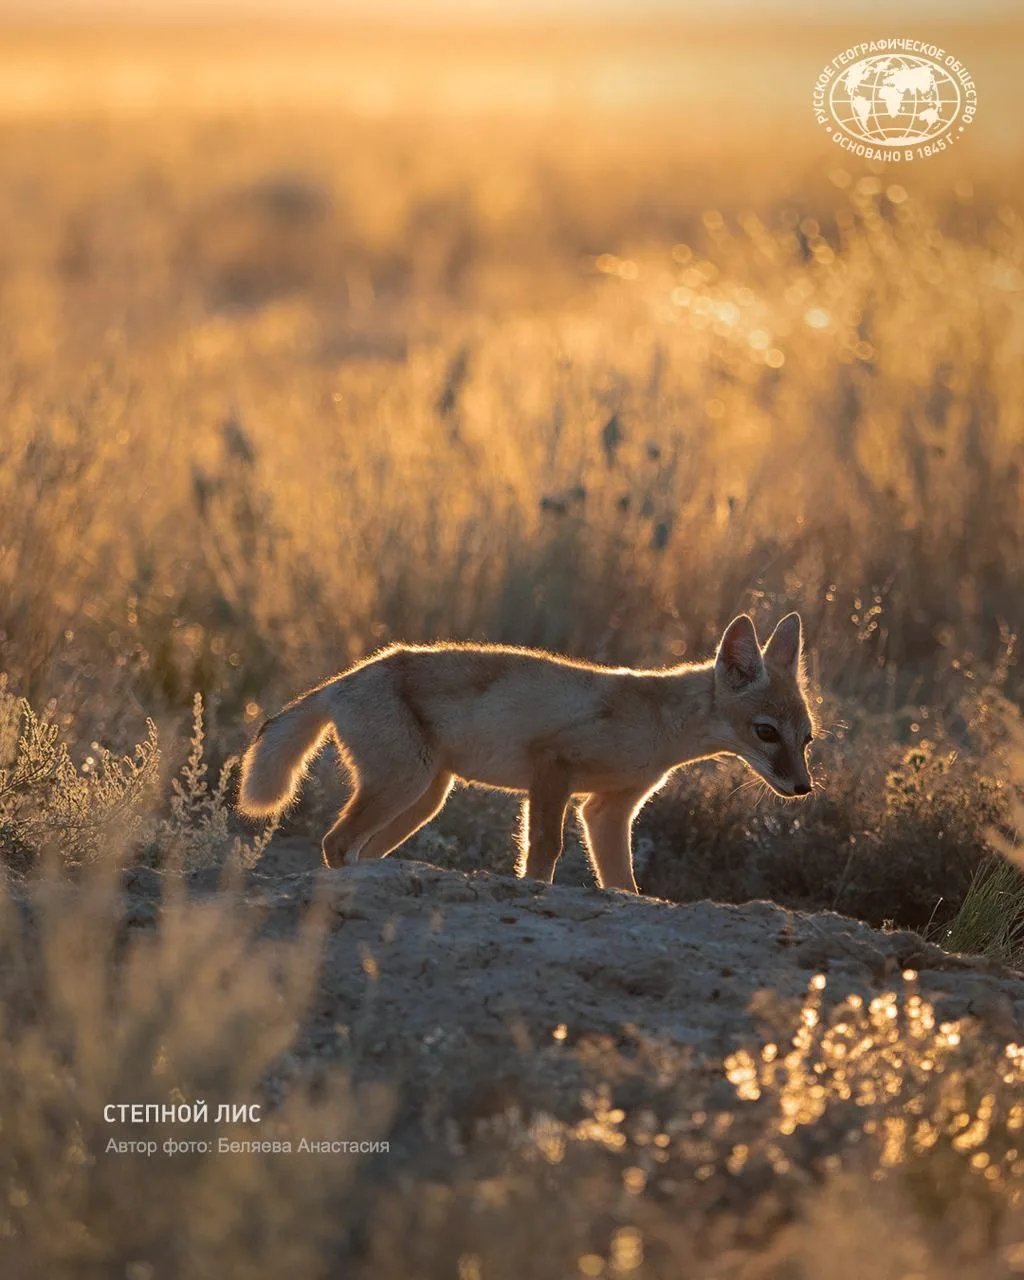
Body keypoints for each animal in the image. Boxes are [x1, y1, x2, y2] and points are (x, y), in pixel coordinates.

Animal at [237, 612, 816, 894]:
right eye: (767, 733)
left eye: (806, 739)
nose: (803, 787)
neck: (657, 723)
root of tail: (347, 677)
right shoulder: (552, 766)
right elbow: (544, 852)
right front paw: (536, 890)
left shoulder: (607, 809)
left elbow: (625, 885)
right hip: (404, 786)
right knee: (334, 842)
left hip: (424, 799)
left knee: (360, 851)